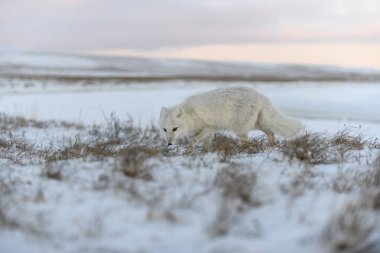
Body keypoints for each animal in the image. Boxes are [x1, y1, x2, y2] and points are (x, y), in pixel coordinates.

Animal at [159, 87, 304, 146]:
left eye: (175, 129)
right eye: (165, 130)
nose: (169, 144)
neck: (191, 115)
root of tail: (261, 96)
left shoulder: (209, 127)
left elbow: (192, 141)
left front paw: (188, 152)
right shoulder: (209, 132)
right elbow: (205, 144)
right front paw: (204, 154)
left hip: (240, 129)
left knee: (247, 141)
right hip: (257, 123)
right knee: (271, 132)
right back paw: (273, 146)